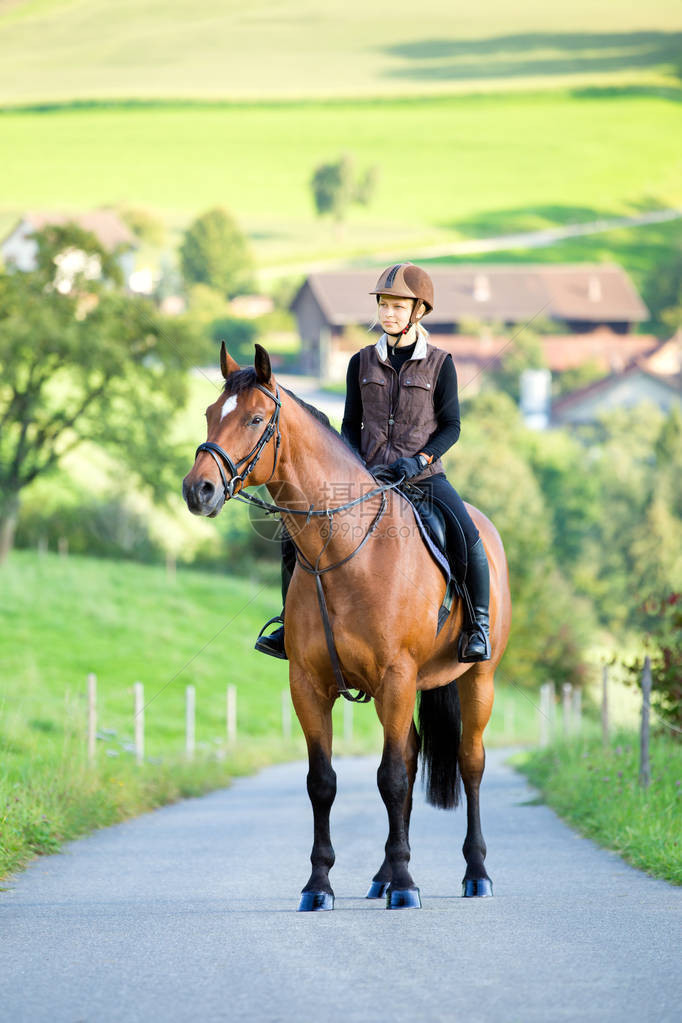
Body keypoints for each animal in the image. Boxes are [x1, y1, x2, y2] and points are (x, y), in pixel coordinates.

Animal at [184, 343, 509, 912]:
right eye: (208, 414)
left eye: (254, 419)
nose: (197, 490)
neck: (346, 549)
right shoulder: (309, 686)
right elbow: (324, 782)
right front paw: (319, 885)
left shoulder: (396, 678)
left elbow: (393, 779)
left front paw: (406, 886)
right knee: (412, 754)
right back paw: (382, 876)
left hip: (477, 680)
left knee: (469, 763)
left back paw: (475, 873)